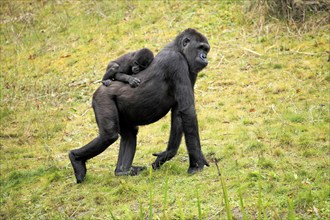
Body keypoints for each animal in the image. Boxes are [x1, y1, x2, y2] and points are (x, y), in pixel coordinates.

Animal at [68, 28, 210, 183]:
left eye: (206, 50)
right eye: (200, 48)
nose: (204, 57)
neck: (178, 48)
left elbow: (179, 112)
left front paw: (167, 154)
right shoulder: (176, 61)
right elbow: (187, 110)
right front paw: (196, 163)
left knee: (129, 134)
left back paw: (122, 171)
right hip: (102, 97)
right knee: (109, 135)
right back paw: (76, 159)